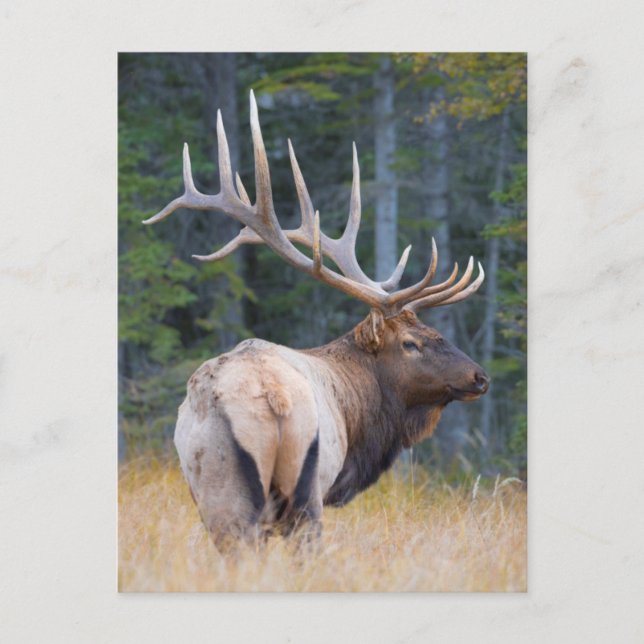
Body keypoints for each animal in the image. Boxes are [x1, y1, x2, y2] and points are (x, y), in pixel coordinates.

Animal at [143, 91, 490, 551]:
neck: (359, 416)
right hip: (302, 489)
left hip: (219, 489)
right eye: (410, 343)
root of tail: (271, 397)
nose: (479, 377)